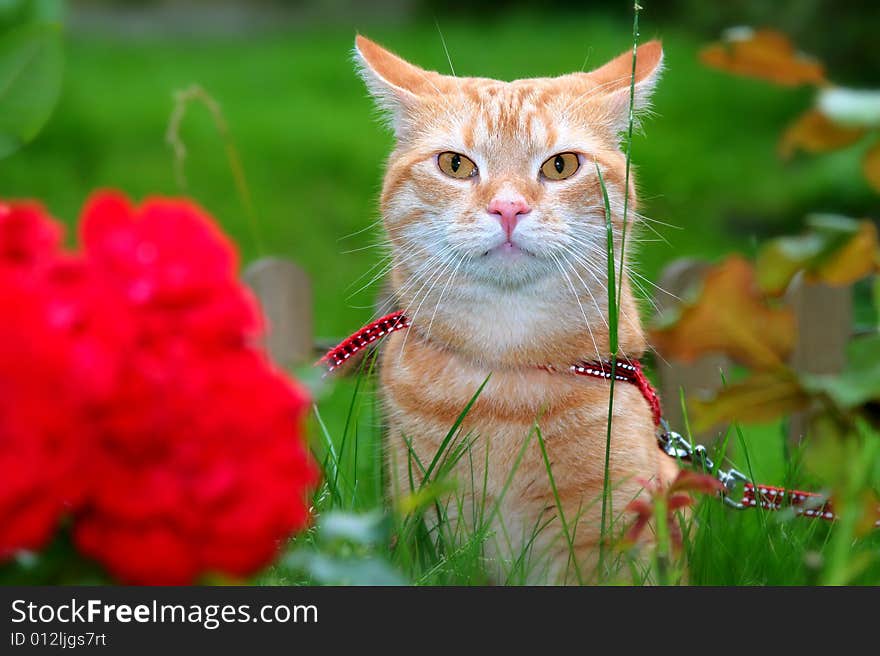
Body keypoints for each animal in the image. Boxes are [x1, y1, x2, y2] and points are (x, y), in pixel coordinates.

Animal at [354, 33, 676, 580]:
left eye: (560, 166)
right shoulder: (426, 522)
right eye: (456, 164)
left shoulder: (611, 533)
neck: (506, 375)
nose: (508, 207)